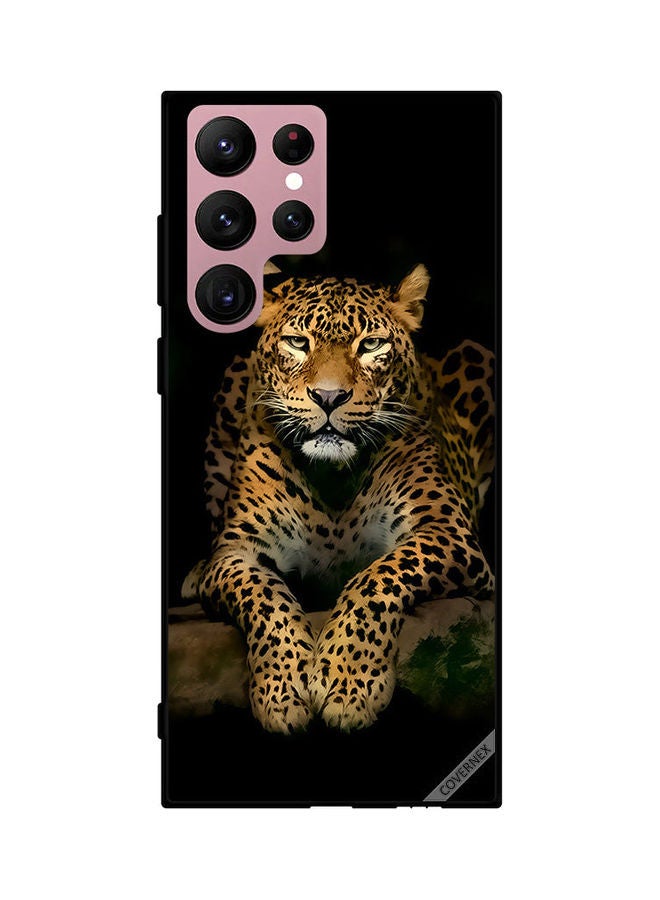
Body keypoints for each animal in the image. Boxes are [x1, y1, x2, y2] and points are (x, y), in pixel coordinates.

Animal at [181, 264, 495, 734]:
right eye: (298, 342)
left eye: (371, 345)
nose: (329, 397)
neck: (331, 478)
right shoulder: (238, 551)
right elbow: (264, 596)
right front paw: (282, 690)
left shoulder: (447, 530)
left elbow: (378, 578)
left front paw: (349, 684)